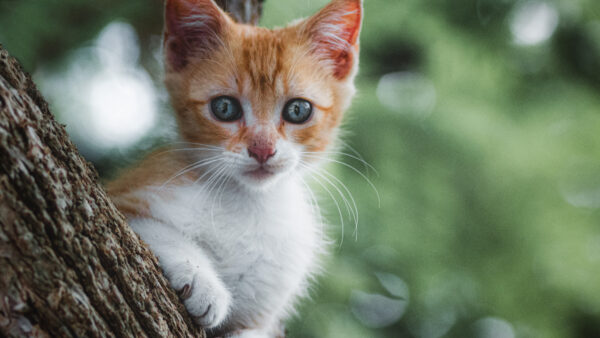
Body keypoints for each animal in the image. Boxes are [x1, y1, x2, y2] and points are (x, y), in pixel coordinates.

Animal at [106, 0, 360, 336]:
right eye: (224, 108)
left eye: (298, 110)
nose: (262, 149)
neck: (247, 203)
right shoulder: (129, 196)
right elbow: (155, 228)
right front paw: (202, 280)